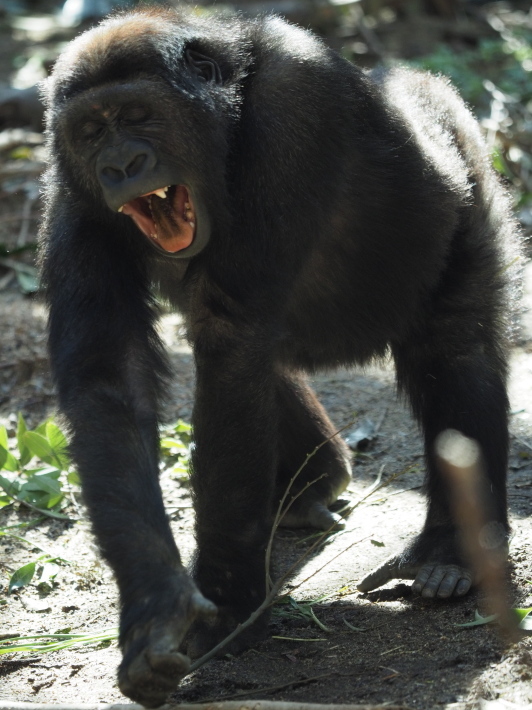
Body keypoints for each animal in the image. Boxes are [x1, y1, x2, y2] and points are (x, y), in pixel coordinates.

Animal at [40, 8, 520, 708]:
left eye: (138, 115)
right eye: (90, 131)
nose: (122, 164)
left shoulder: (297, 105)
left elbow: (233, 340)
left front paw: (227, 606)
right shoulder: (70, 186)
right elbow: (111, 376)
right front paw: (157, 604)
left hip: (462, 153)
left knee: (457, 352)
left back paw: (448, 553)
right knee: (263, 368)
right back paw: (313, 482)